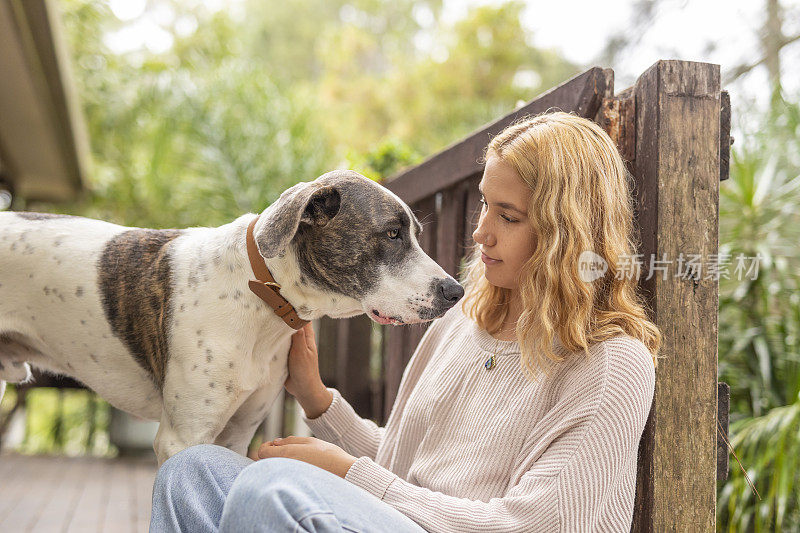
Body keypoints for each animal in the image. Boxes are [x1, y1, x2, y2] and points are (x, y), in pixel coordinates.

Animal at [0, 170, 462, 462]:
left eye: (414, 233)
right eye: (391, 234)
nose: (455, 291)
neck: (261, 298)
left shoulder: (238, 435)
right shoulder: (184, 438)